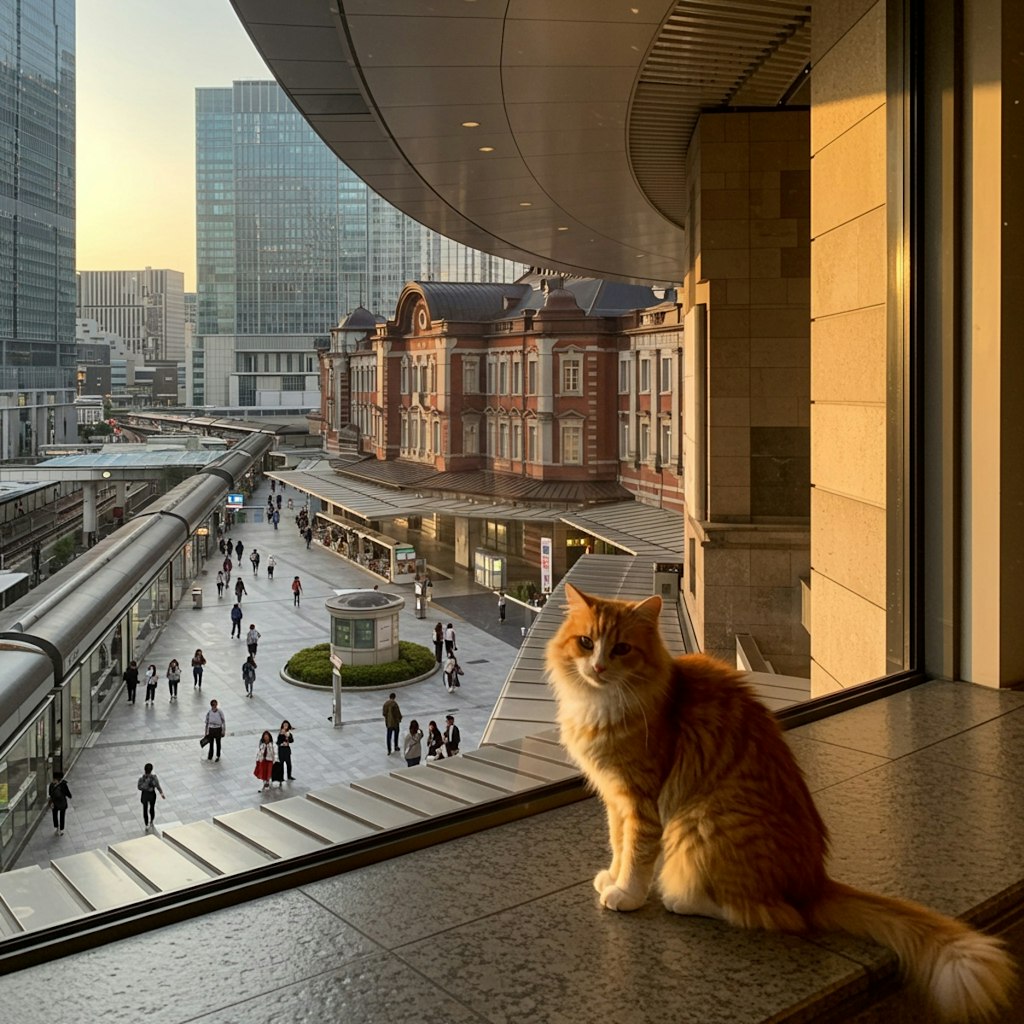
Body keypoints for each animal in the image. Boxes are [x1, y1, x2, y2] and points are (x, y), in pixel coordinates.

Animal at [548, 585, 1011, 1024]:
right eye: (586, 642)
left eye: (621, 649)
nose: (598, 667)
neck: (604, 703)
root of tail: (814, 882)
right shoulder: (616, 800)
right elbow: (619, 845)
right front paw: (611, 877)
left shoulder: (641, 798)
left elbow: (638, 854)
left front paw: (626, 894)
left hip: (699, 824)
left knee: (772, 915)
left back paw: (680, 898)